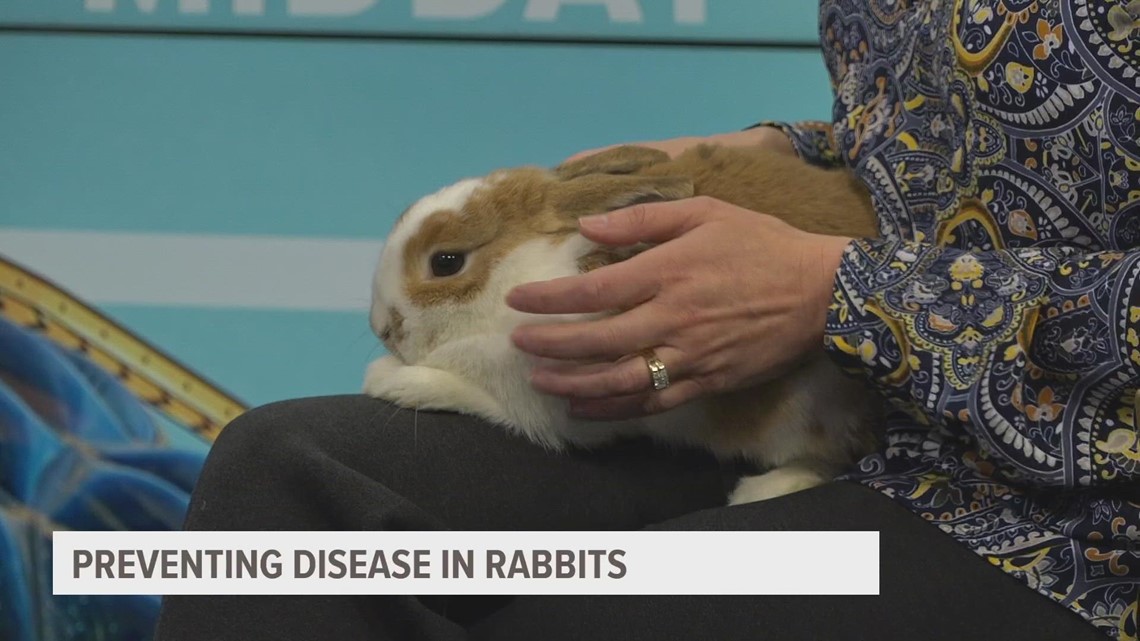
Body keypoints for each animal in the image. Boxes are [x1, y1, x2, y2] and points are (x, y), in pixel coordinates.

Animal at [363, 143, 883, 505]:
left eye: (446, 262)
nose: (382, 328)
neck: (517, 273)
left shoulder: (554, 404)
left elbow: (476, 393)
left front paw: (389, 380)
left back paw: (762, 490)